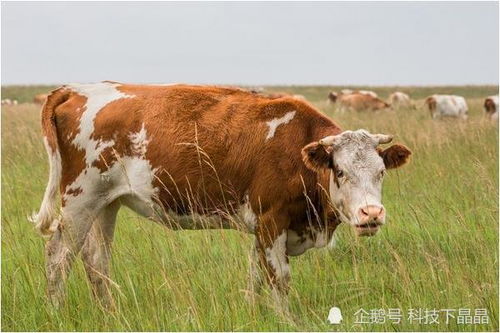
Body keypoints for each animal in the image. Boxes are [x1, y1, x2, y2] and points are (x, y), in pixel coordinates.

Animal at [33, 81, 412, 308]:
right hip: (80, 200)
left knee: (96, 260)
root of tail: (76, 89)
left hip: (106, 204)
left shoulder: (262, 229)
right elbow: (278, 280)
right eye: (341, 171)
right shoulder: (271, 221)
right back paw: (57, 312)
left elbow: (255, 278)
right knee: (58, 257)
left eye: (380, 172)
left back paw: (108, 313)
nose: (371, 214)